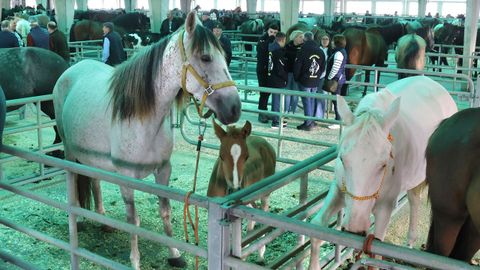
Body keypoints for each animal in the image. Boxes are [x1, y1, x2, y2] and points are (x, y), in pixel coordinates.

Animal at [53, 11, 240, 270]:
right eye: (205, 57)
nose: (235, 108)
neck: (143, 120)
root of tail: (71, 70)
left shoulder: (163, 170)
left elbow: (165, 212)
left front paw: (175, 254)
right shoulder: (126, 178)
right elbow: (133, 220)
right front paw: (135, 261)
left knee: (95, 182)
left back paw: (103, 220)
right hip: (71, 153)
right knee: (75, 182)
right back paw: (79, 219)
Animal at [308, 75, 458, 268]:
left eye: (384, 165)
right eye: (342, 159)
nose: (355, 228)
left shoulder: (385, 209)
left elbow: (376, 254)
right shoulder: (339, 190)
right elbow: (317, 227)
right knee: (414, 200)